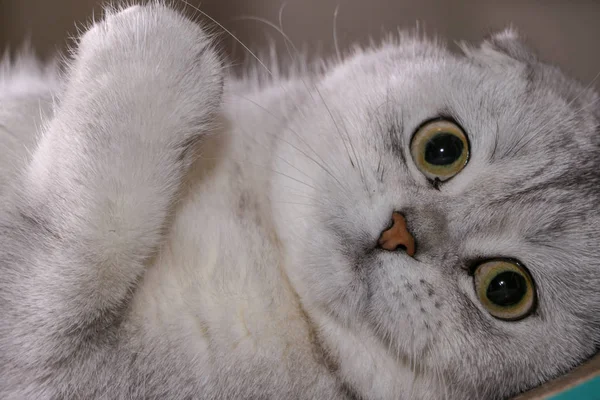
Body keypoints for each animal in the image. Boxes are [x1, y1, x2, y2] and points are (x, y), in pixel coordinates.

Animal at [1, 3, 600, 400]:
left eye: (506, 289)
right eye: (443, 148)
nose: (401, 233)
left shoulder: (58, 368)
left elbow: (80, 258)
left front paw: (156, 50)